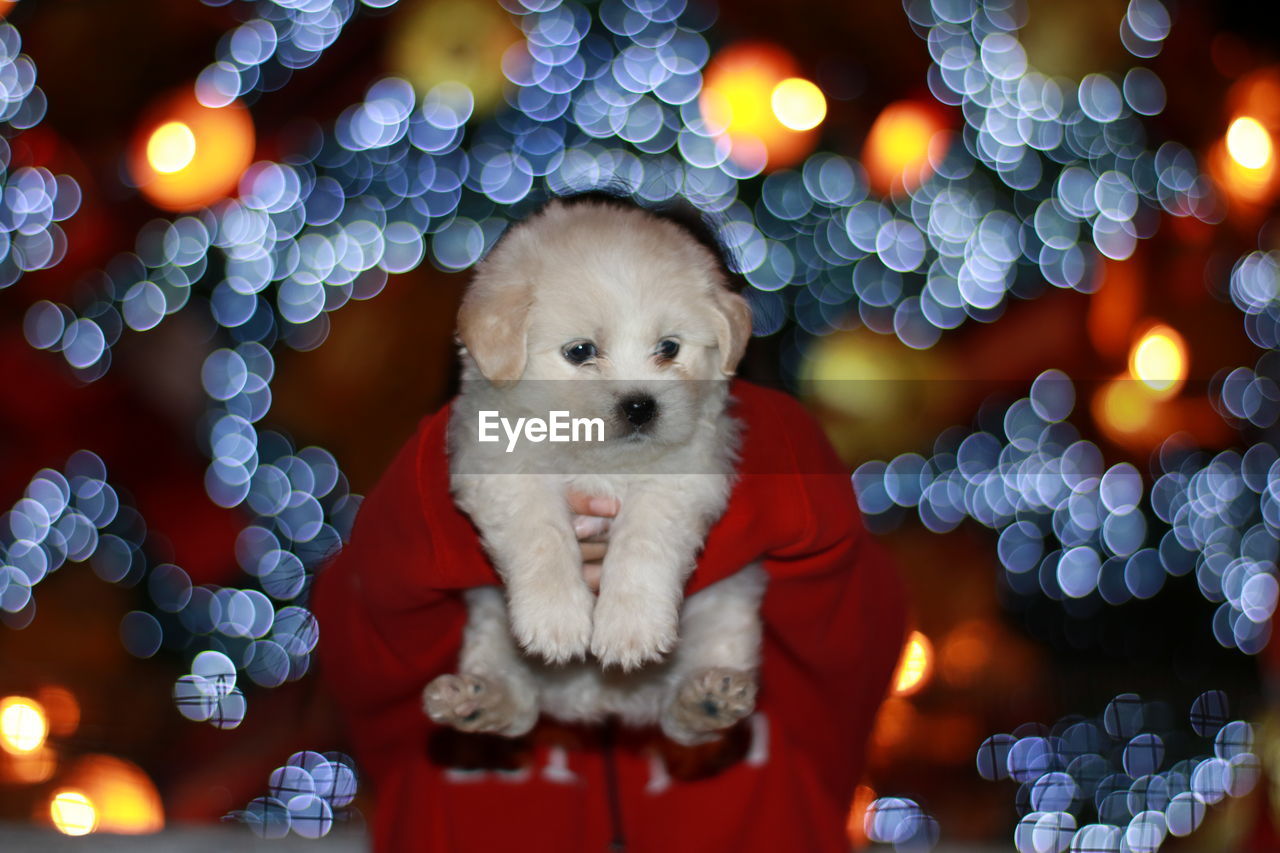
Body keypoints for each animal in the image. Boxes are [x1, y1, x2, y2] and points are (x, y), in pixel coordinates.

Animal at [419, 195, 762, 742]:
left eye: (669, 347)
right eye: (580, 351)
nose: (641, 406)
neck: (597, 461)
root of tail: (601, 703)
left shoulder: (685, 478)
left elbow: (643, 542)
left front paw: (631, 629)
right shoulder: (499, 469)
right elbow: (541, 536)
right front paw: (556, 621)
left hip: (723, 611)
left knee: (685, 720)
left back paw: (708, 700)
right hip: (492, 626)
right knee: (518, 704)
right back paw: (473, 702)